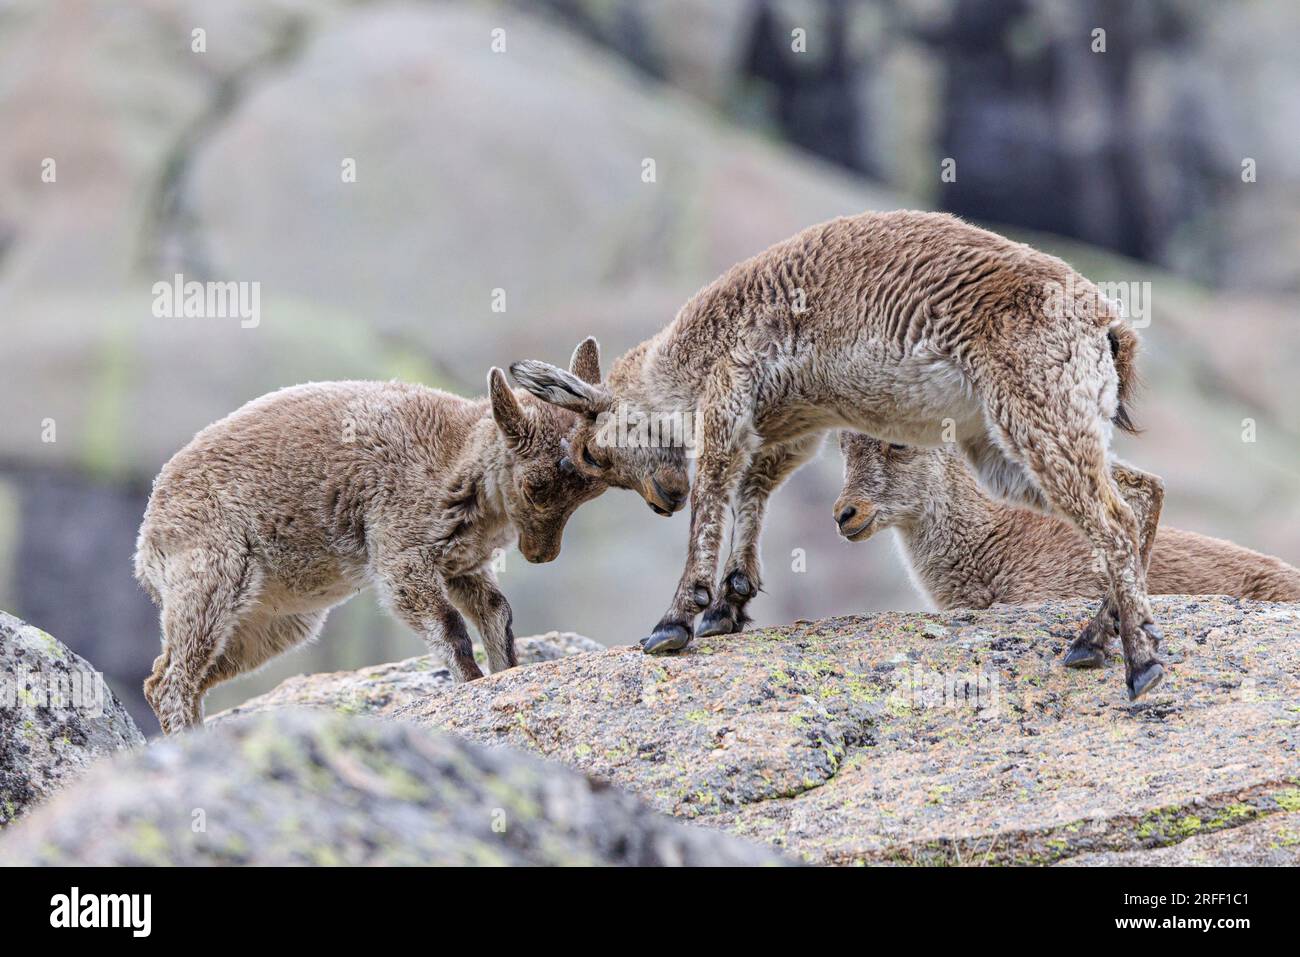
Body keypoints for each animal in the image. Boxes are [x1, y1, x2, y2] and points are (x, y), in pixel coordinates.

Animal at [136, 344, 606, 734]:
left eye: (590, 492)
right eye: (535, 487)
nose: (541, 555)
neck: (455, 459)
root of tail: (147, 541)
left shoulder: (464, 567)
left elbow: (498, 614)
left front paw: (506, 673)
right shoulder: (403, 551)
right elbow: (449, 625)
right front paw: (470, 686)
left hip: (275, 623)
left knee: (184, 677)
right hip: (213, 577)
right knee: (167, 681)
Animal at [511, 210, 1169, 699]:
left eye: (592, 454)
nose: (661, 501)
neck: (688, 356)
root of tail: (1110, 328)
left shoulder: (730, 393)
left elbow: (715, 496)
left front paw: (675, 622)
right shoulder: (790, 427)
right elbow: (753, 491)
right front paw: (730, 603)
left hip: (1036, 413)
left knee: (1113, 519)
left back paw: (1140, 663)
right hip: (1007, 447)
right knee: (1139, 493)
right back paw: (1096, 639)